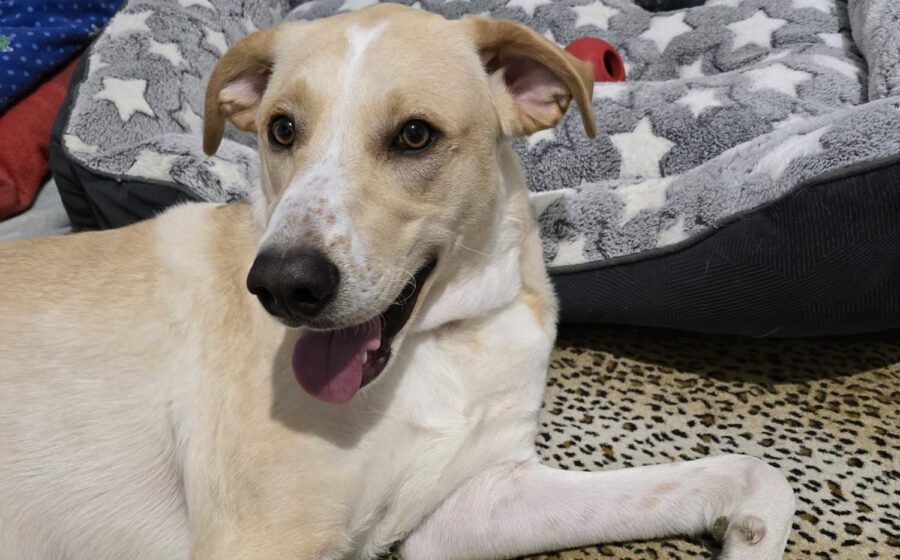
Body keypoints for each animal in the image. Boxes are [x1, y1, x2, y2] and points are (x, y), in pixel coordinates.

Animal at [0, 4, 795, 559]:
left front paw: (750, 534)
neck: (441, 343)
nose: (281, 285)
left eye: (415, 135)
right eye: (281, 130)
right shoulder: (262, 538)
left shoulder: (475, 502)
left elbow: (751, 471)